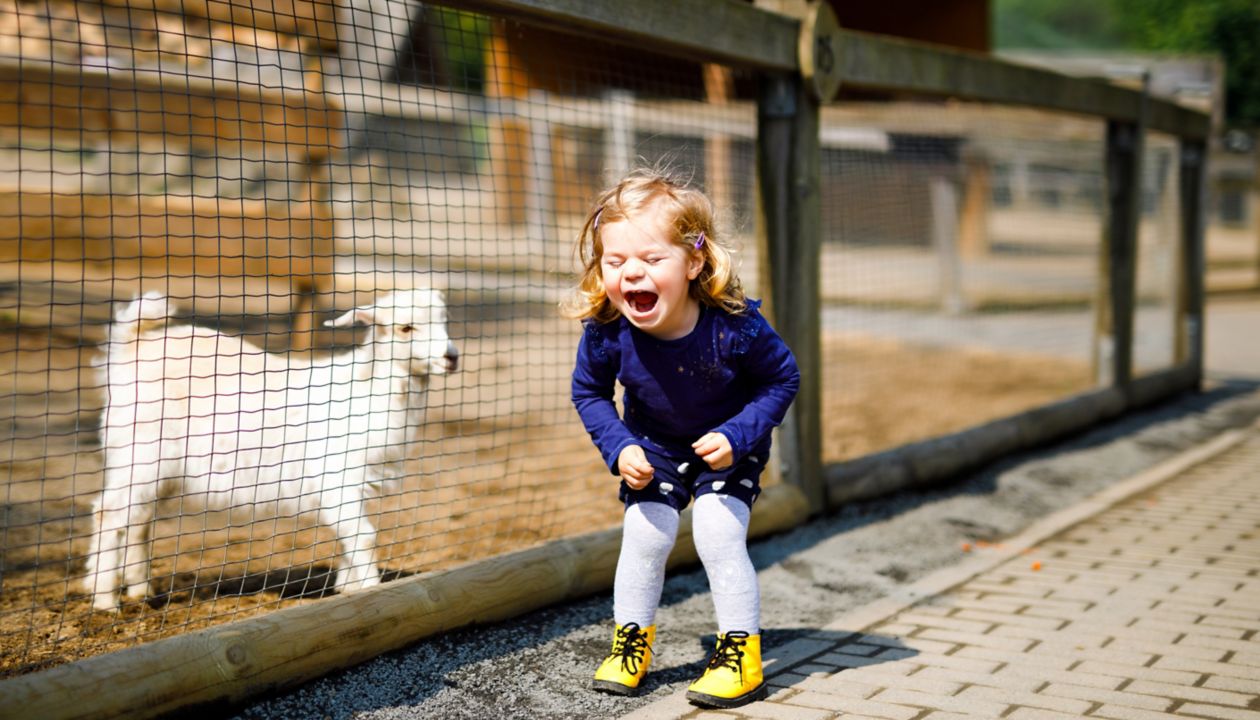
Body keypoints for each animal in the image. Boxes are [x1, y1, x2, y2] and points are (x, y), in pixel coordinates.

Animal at [83, 290, 458, 610]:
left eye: (444, 320)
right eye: (405, 327)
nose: (451, 357)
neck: (365, 391)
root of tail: (132, 348)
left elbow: (348, 537)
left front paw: (347, 587)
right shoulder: (339, 479)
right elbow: (363, 536)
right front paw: (369, 590)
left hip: (156, 466)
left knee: (138, 521)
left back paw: (140, 590)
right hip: (142, 453)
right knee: (109, 514)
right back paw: (105, 600)